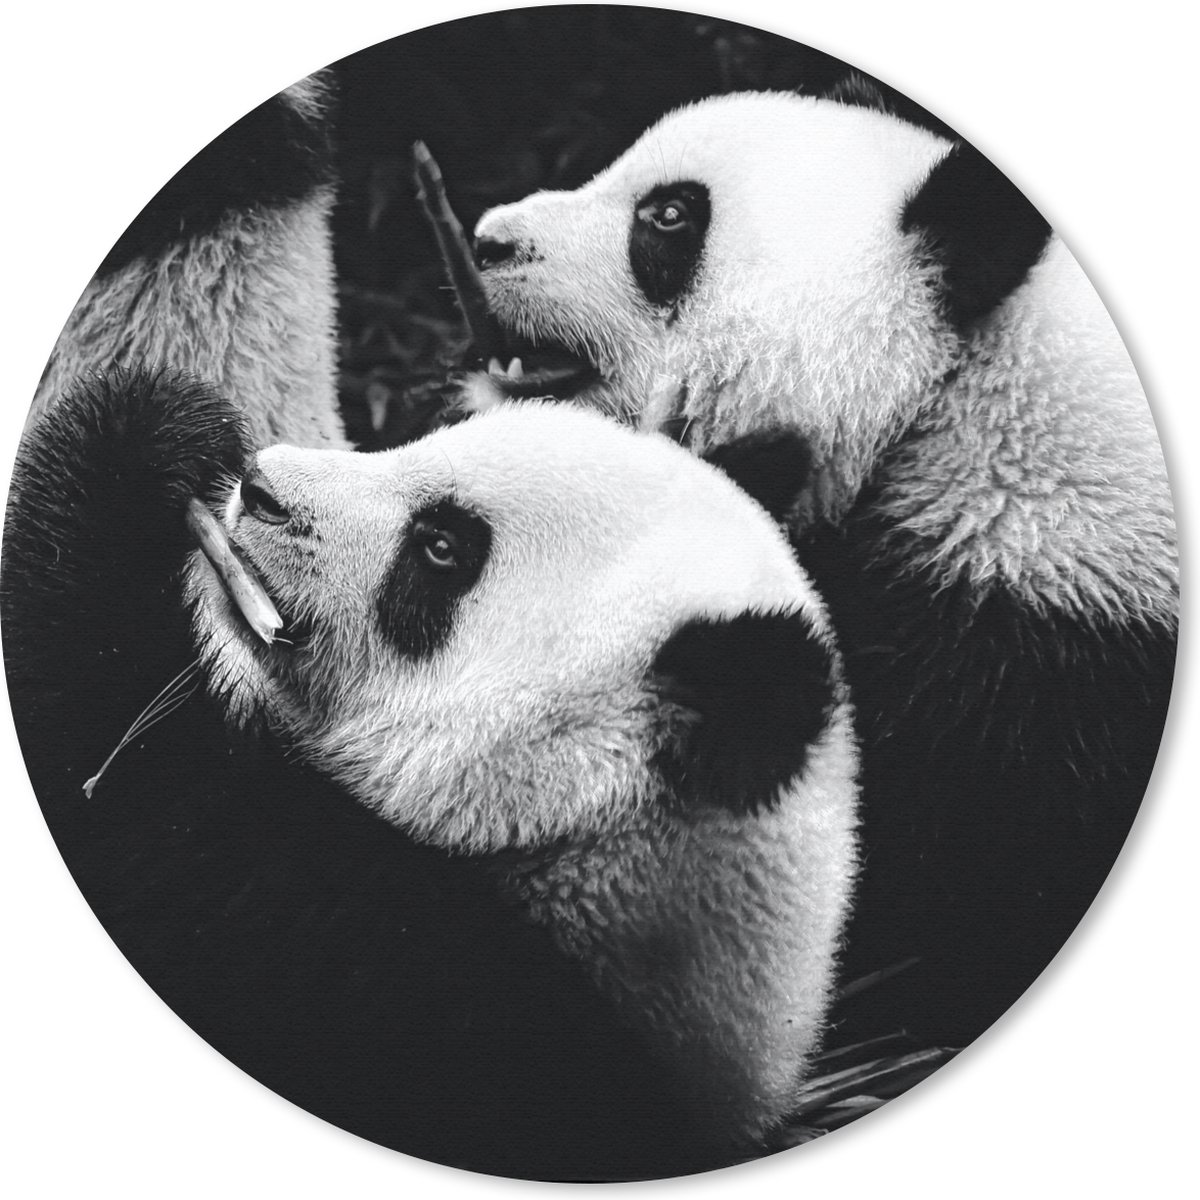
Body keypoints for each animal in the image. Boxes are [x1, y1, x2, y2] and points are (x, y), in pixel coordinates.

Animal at [2, 367, 857, 1180]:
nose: (260, 487)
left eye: (442, 548)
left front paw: (124, 454)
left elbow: (146, 802)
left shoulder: (446, 1018)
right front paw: (183, 427)